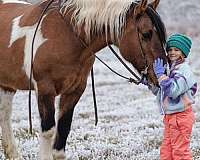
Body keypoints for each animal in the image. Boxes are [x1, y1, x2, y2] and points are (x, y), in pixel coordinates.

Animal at [0, 0, 167, 159]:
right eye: (146, 34)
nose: (163, 73)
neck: (65, 35)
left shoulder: (74, 91)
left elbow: (63, 131)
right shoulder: (44, 90)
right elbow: (48, 131)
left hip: (7, 86)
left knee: (4, 116)